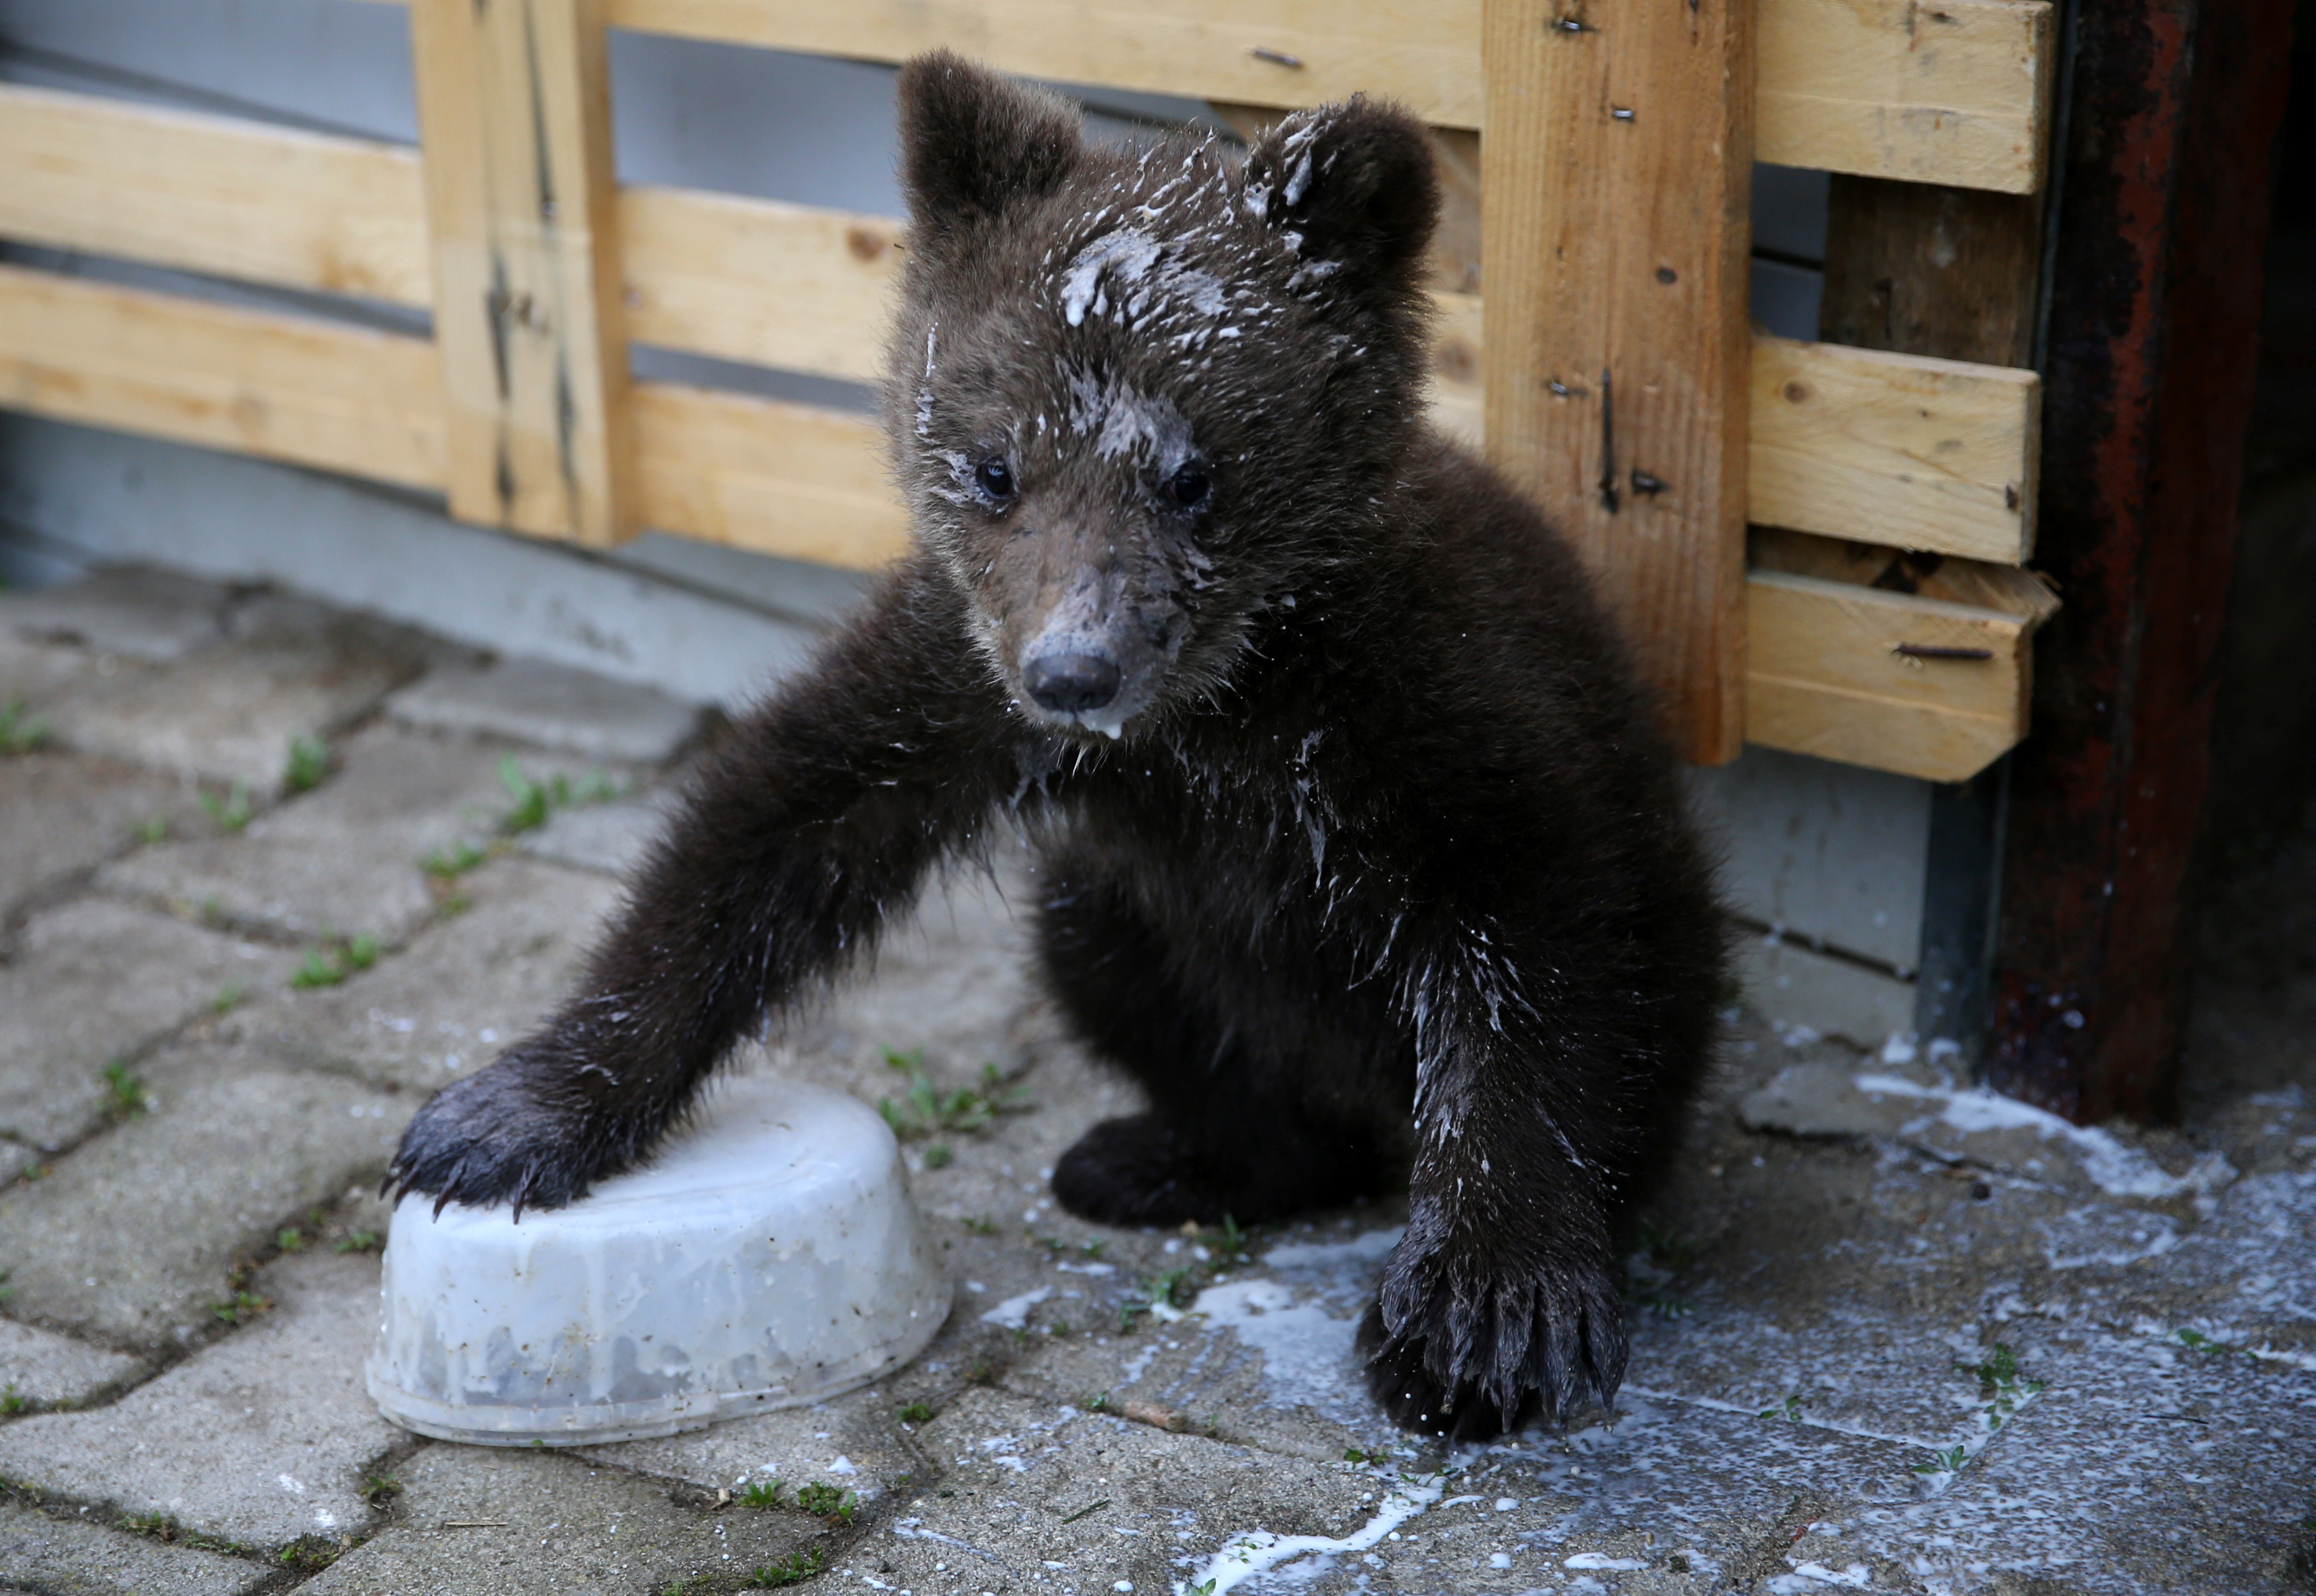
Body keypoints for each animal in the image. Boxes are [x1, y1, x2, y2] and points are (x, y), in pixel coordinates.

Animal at [387, 51, 1728, 1440]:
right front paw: (508, 1118)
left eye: (1194, 472)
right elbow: (778, 822)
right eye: (995, 467)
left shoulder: (1433, 705)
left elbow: (1530, 952)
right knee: (1122, 963)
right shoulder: (962, 676)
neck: (1221, 701)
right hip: (1121, 903)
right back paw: (1158, 1153)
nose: (1076, 672)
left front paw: (1484, 1310)